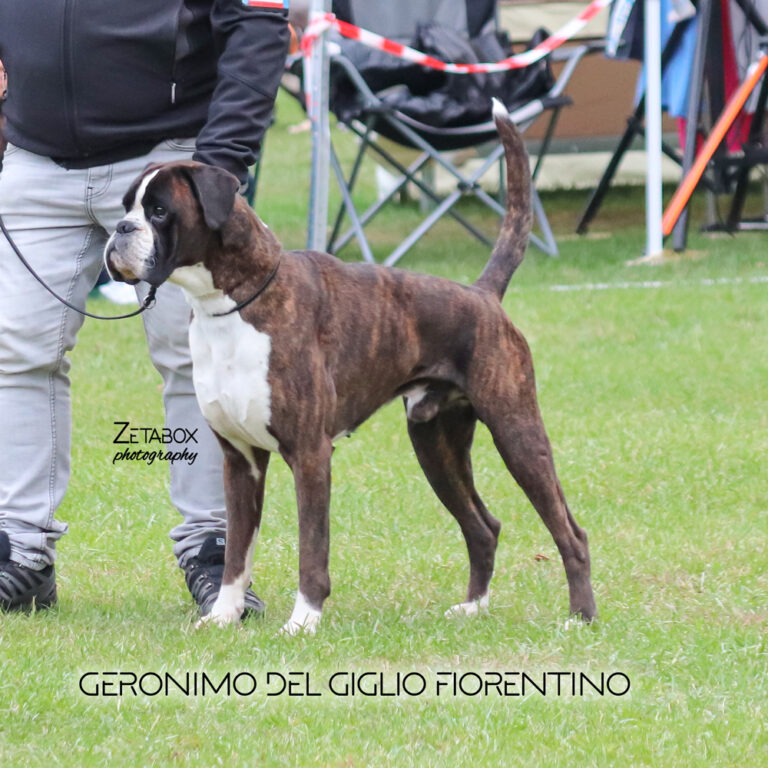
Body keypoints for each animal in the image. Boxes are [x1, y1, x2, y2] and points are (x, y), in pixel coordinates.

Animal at [105, 102, 596, 636]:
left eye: (158, 211)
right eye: (126, 207)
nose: (120, 230)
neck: (234, 302)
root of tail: (481, 294)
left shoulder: (310, 455)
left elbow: (311, 548)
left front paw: (303, 622)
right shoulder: (240, 461)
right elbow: (236, 552)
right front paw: (224, 616)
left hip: (516, 432)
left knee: (570, 532)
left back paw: (580, 617)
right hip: (436, 444)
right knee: (483, 526)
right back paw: (473, 607)